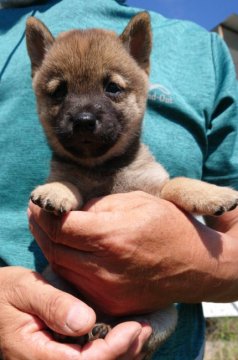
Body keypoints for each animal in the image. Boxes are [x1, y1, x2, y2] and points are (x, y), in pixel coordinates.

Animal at [25, 12, 238, 358]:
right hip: (56, 283)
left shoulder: (155, 190)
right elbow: (67, 181)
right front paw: (55, 191)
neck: (103, 168)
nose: (83, 120)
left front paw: (211, 192)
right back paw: (81, 332)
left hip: (164, 317)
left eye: (112, 87)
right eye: (59, 92)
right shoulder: (72, 177)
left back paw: (104, 328)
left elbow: (178, 183)